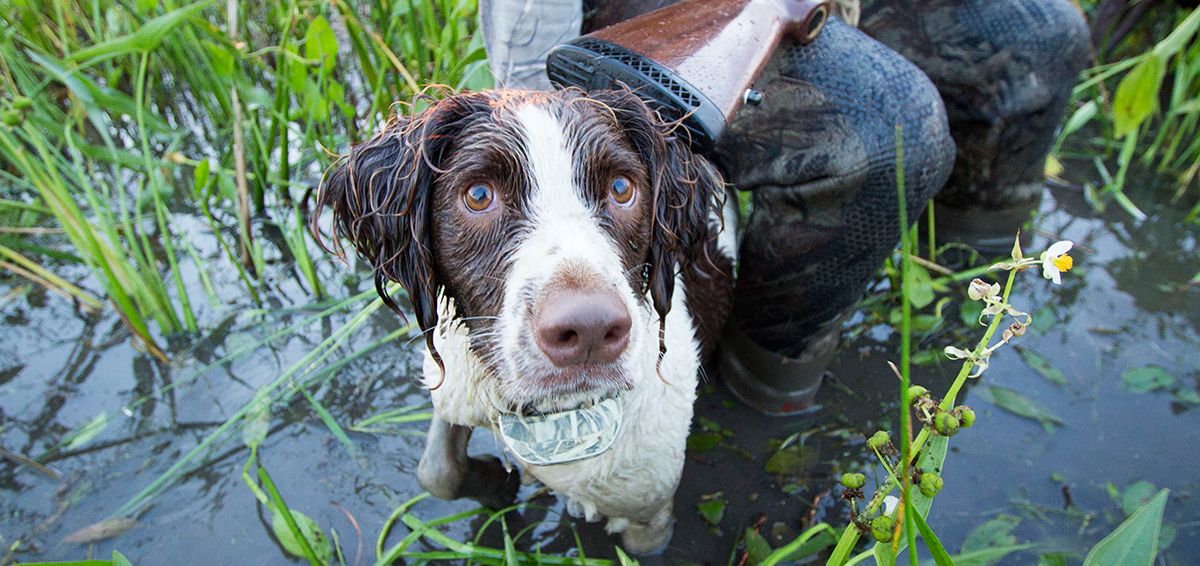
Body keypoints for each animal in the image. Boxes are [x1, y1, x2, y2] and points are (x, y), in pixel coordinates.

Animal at [314, 88, 734, 551]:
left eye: (622, 188)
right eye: (479, 195)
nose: (589, 331)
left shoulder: (649, 517)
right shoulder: (453, 383)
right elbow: (437, 472)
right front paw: (496, 484)